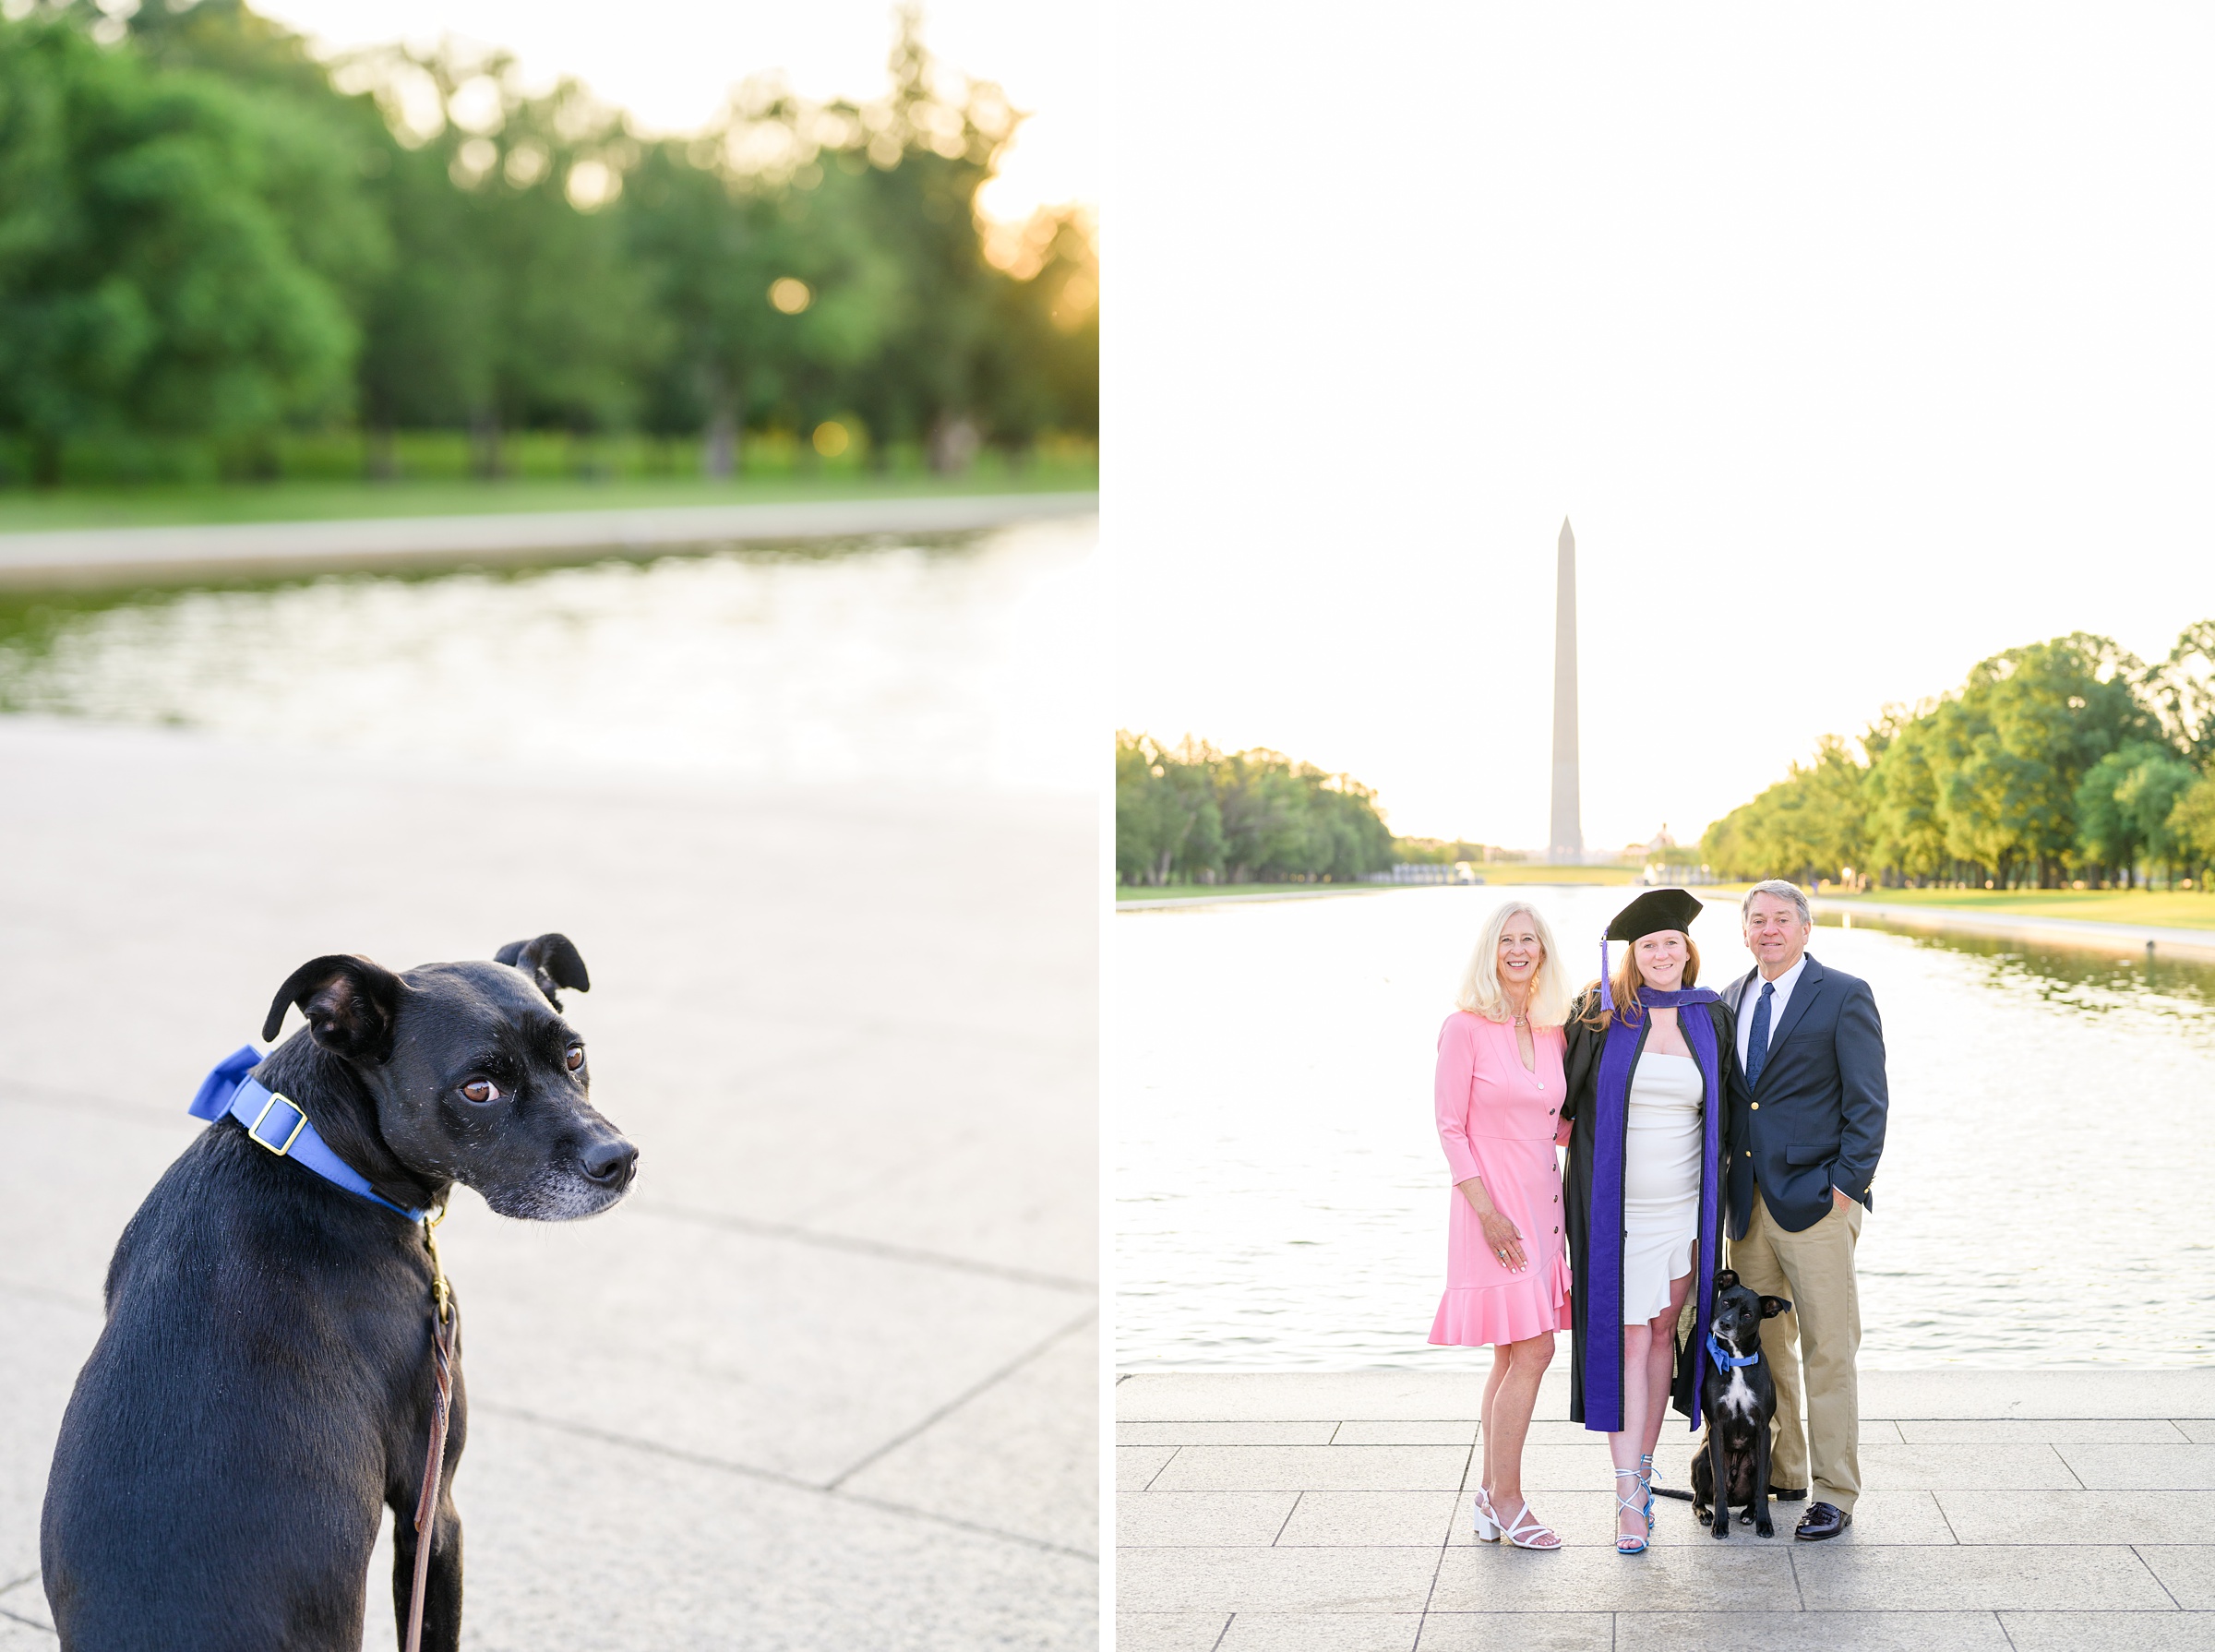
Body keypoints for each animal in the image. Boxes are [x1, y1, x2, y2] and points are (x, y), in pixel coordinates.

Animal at [1683, 1266, 1790, 1541]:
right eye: (1726, 1302)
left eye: (1748, 1314)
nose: (1725, 1323)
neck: (1736, 1360)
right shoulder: (1716, 1428)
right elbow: (1719, 1486)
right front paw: (1720, 1524)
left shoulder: (1763, 1429)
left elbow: (1762, 1490)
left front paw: (1764, 1523)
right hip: (1701, 1456)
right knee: (1698, 1499)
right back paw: (1705, 1514)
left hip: (1764, 1459)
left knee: (1754, 1492)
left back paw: (1750, 1513)